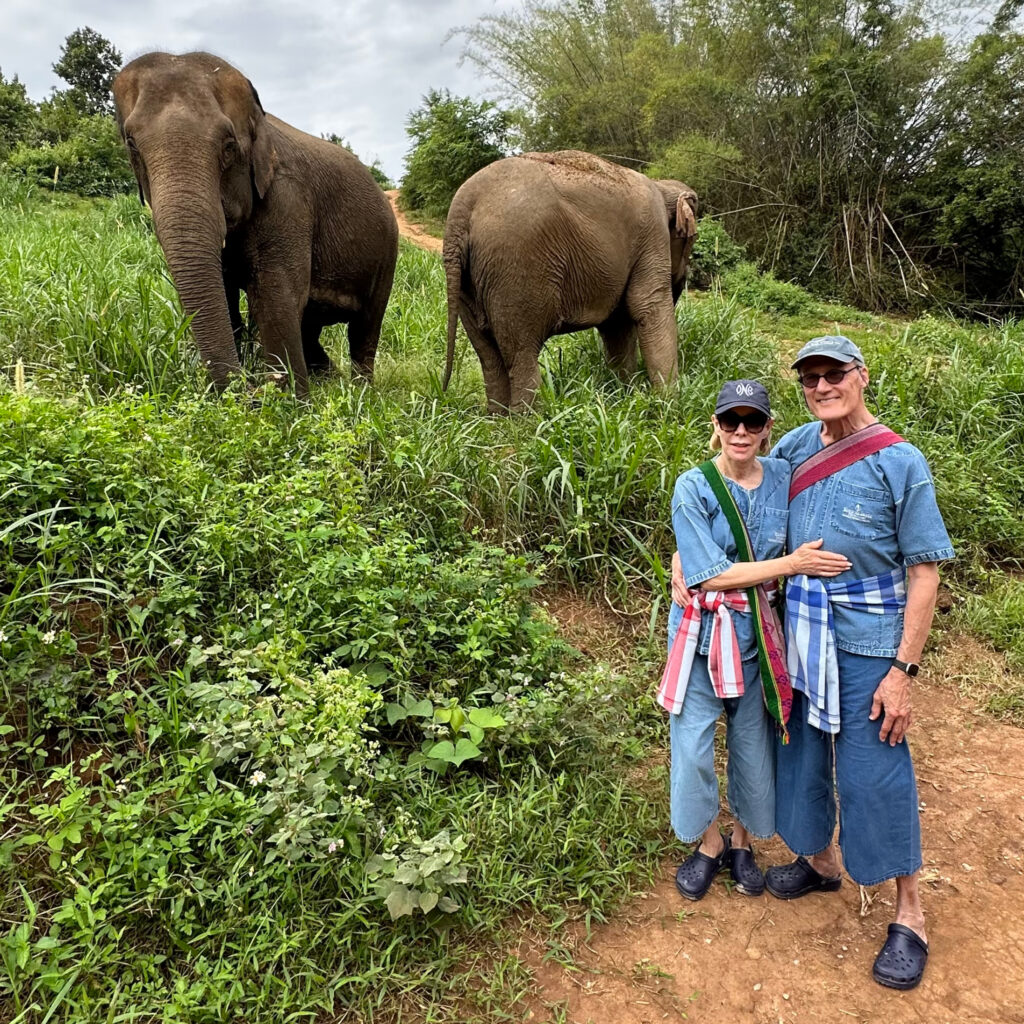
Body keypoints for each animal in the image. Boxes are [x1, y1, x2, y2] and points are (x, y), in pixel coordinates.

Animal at [112, 50, 397, 395]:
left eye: (228, 146)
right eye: (131, 144)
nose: (246, 391)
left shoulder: (288, 202)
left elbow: (276, 299)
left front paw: (289, 402)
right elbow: (225, 296)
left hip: (387, 253)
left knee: (365, 327)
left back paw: (360, 392)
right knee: (311, 327)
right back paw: (332, 380)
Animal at [440, 149, 696, 411]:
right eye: (692, 240)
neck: (661, 186)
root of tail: (461, 211)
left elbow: (617, 325)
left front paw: (625, 397)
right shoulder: (652, 233)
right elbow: (647, 304)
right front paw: (669, 405)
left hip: (469, 281)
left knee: (490, 359)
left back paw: (496, 420)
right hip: (516, 269)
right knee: (521, 355)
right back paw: (527, 421)